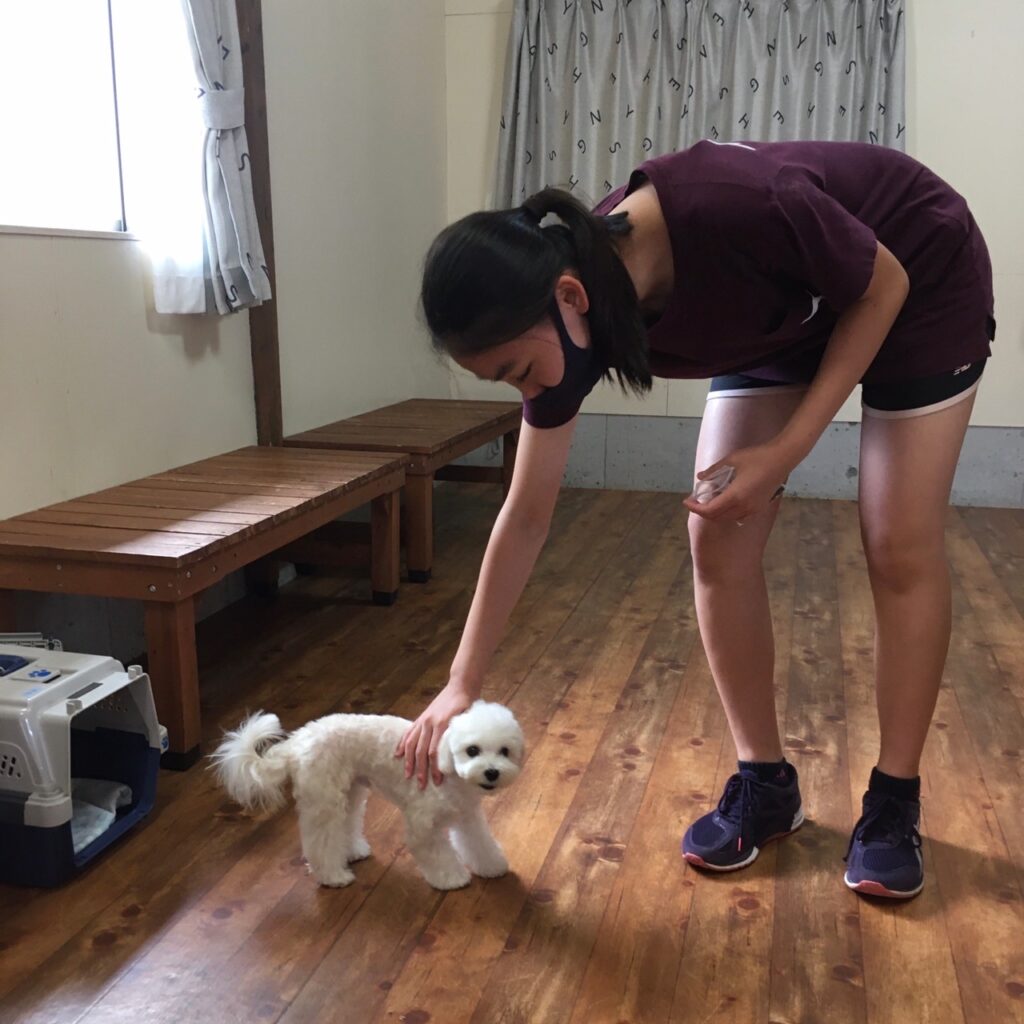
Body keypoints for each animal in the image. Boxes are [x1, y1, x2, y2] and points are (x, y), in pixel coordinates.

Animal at [212, 700, 523, 890]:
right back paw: (334, 876)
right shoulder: (422, 827)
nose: (492, 772)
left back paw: (352, 852)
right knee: (321, 843)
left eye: (504, 751)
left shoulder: (468, 817)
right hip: (324, 800)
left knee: (344, 827)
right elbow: (437, 855)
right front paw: (452, 878)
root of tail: (298, 742)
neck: (449, 773)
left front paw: (492, 866)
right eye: (472, 750)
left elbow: (480, 843)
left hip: (349, 793)